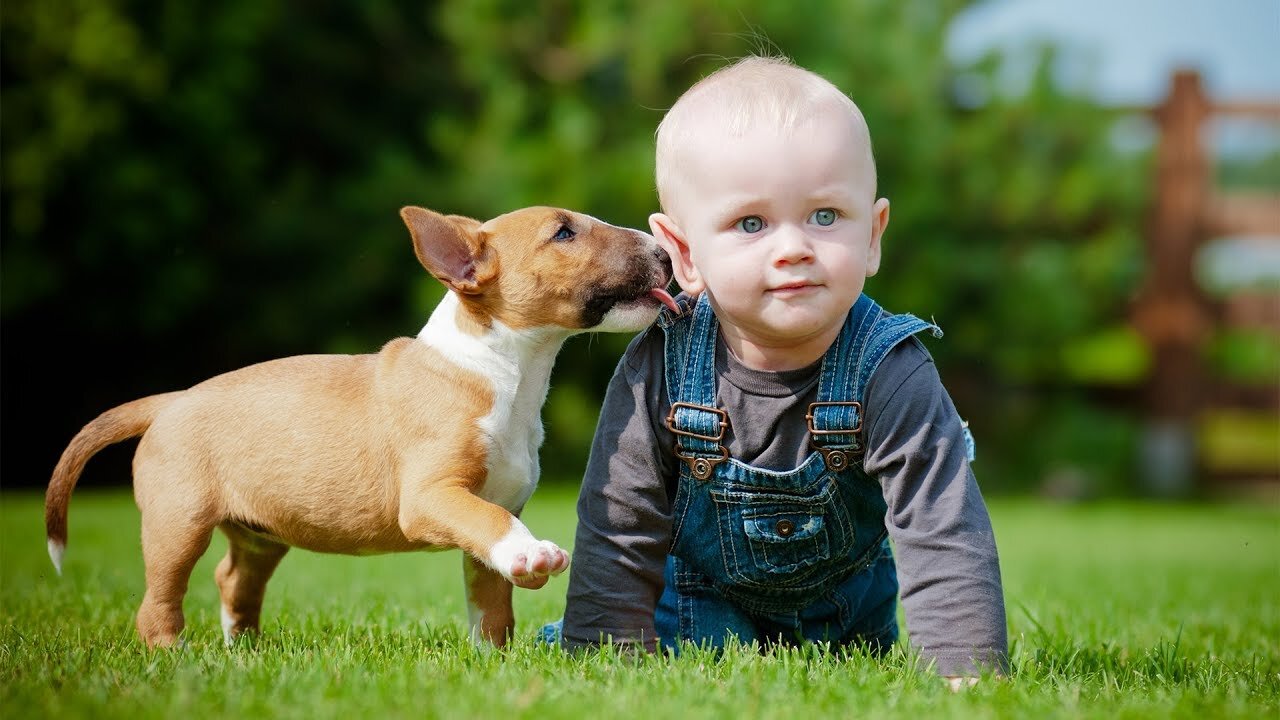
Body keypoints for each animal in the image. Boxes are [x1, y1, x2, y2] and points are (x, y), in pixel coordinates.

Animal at [42, 204, 680, 648]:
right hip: (178, 523)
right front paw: (533, 557)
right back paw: (176, 656)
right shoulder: (432, 497)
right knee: (159, 600)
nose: (665, 253)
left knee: (233, 579)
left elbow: (490, 598)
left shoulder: (494, 506)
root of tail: (168, 401)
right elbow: (492, 525)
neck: (501, 371)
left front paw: (490, 659)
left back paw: (243, 650)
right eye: (563, 233)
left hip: (258, 534)